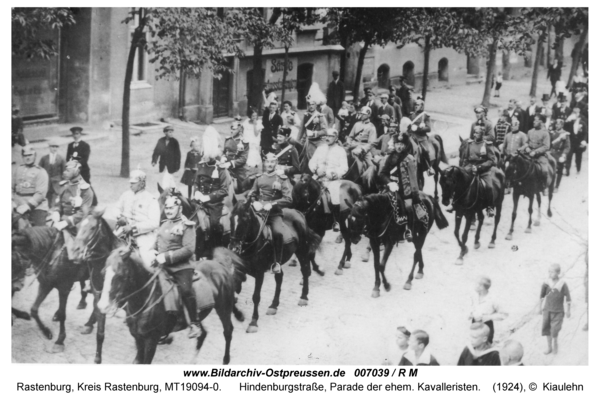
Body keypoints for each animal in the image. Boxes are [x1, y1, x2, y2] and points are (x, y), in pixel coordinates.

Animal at [97, 245, 245, 364]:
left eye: (120, 276)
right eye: (103, 272)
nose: (102, 306)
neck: (147, 298)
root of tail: (220, 265)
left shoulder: (151, 341)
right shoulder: (138, 339)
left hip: (224, 308)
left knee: (228, 331)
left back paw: (226, 360)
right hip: (196, 316)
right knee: (202, 334)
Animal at [230, 198, 324, 332]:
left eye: (245, 219)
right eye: (230, 218)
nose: (233, 247)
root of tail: (298, 212)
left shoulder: (259, 274)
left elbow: (256, 297)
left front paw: (253, 322)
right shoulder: (239, 270)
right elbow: (232, 293)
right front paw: (239, 315)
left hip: (302, 251)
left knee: (305, 271)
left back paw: (304, 297)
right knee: (280, 278)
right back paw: (274, 305)